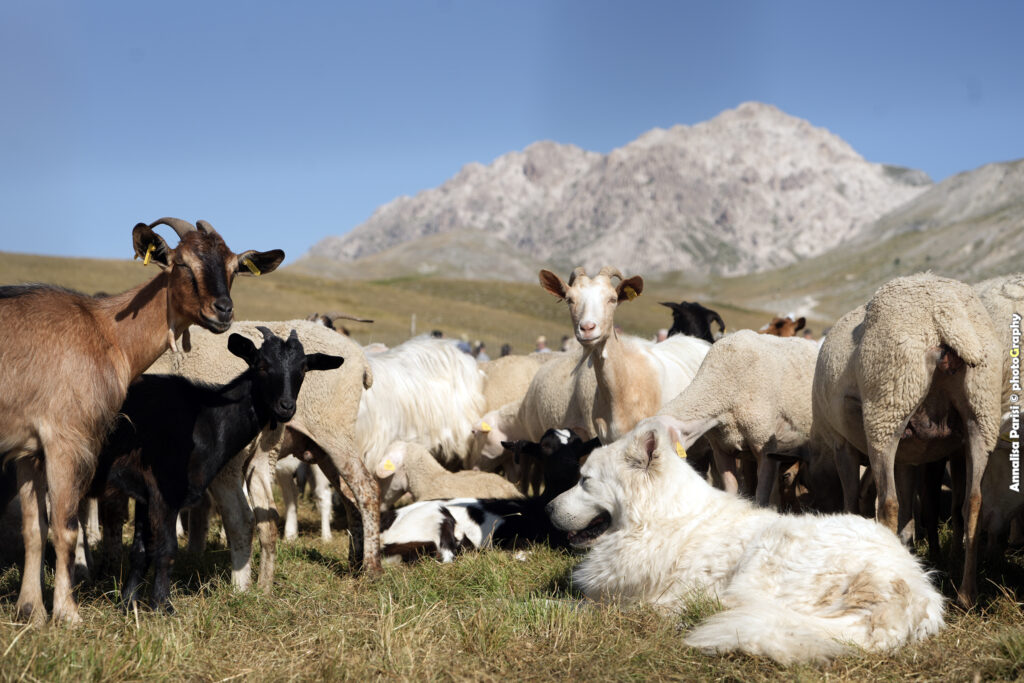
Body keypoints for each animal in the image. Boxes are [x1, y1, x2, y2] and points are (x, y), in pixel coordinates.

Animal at [0, 219, 284, 626]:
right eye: (182, 263)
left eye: (233, 268)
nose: (223, 311)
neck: (107, 334)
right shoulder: (66, 440)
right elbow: (65, 529)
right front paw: (68, 614)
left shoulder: (29, 450)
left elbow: (33, 528)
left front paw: (32, 612)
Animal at [548, 419, 946, 663]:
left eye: (584, 480)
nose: (548, 508)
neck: (657, 518)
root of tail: (912, 595)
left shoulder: (625, 597)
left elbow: (568, 604)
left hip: (766, 554)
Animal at [806, 270, 999, 602]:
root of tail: (945, 313)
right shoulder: (911, 457)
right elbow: (912, 513)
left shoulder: (842, 446)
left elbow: (853, 501)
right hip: (981, 411)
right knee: (974, 501)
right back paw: (965, 594)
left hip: (888, 404)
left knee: (888, 504)